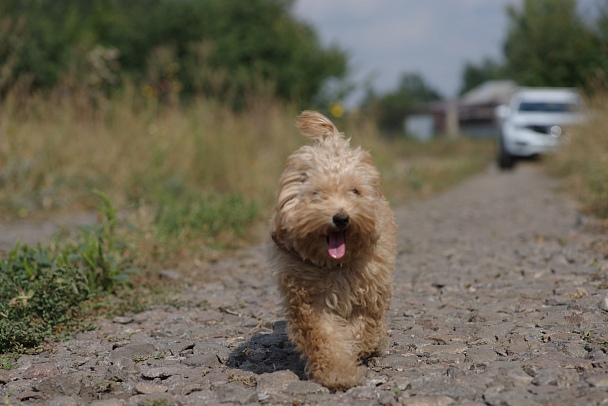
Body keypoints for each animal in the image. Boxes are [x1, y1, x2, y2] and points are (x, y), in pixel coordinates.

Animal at [268, 110, 396, 390]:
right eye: (317, 193)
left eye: (354, 191)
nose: (341, 218)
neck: (334, 265)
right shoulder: (308, 298)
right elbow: (325, 335)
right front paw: (338, 373)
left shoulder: (370, 289)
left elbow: (364, 325)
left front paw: (359, 346)